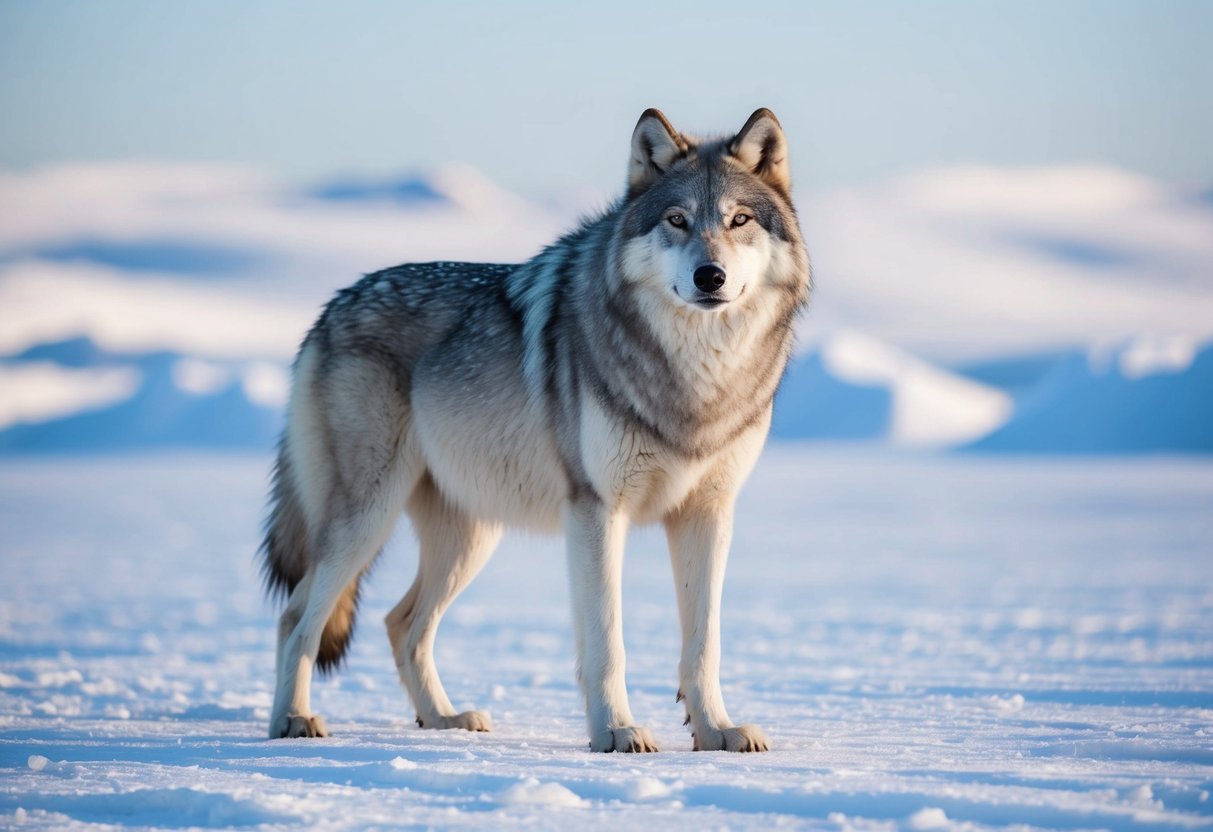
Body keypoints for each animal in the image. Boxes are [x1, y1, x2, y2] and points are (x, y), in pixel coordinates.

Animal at [260, 108, 810, 752]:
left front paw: (716, 731)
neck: (695, 380)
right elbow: (607, 642)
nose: (710, 275)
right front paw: (616, 731)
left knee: (401, 623)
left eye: (738, 220)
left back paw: (444, 720)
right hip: (367, 519)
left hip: (469, 537)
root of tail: (330, 308)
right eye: (677, 220)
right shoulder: (596, 511)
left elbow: (705, 645)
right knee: (298, 618)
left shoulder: (709, 513)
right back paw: (292, 721)